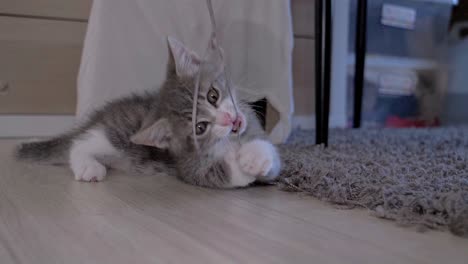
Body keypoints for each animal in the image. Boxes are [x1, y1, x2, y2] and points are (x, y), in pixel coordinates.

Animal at [16, 37, 282, 189]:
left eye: (213, 96)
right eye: (200, 127)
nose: (228, 119)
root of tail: (99, 116)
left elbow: (271, 158)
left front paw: (255, 156)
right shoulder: (189, 168)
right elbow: (223, 173)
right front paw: (238, 161)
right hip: (116, 136)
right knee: (80, 143)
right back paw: (88, 166)